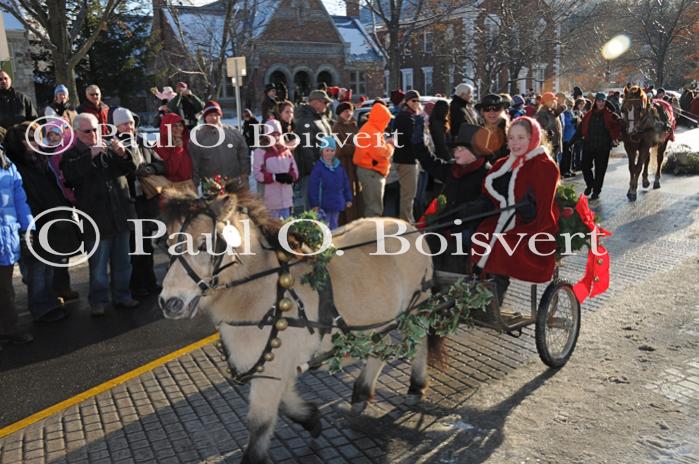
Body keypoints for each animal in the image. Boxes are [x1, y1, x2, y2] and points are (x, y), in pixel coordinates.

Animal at [160, 186, 438, 464]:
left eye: (203, 244)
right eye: (169, 245)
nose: (169, 303)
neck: (264, 291)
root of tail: (408, 225)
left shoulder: (273, 367)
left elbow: (260, 423)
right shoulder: (275, 366)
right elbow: (284, 403)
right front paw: (312, 419)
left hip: (416, 308)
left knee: (420, 342)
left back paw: (415, 386)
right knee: (381, 348)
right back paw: (361, 392)